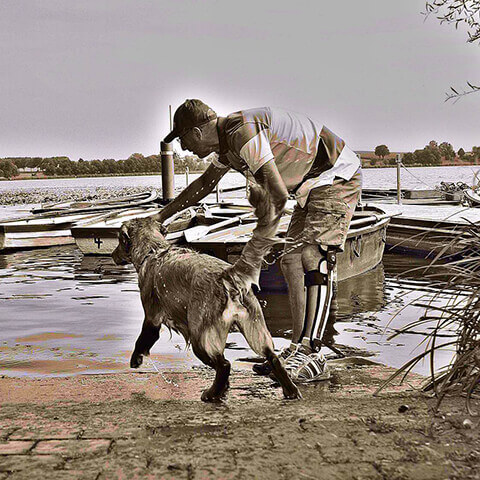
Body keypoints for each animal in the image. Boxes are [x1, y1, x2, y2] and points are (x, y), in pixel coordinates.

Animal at [112, 187, 301, 402]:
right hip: (255, 328)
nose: (112, 255)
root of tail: (227, 275)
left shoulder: (152, 317)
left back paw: (212, 393)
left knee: (224, 364)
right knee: (272, 357)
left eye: (119, 241)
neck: (153, 251)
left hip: (200, 337)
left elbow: (142, 340)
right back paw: (289, 390)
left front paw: (136, 359)